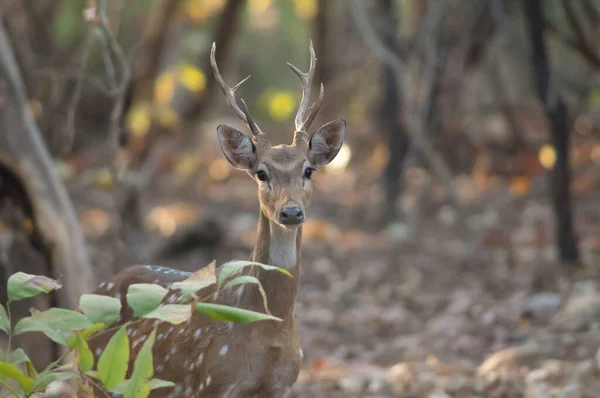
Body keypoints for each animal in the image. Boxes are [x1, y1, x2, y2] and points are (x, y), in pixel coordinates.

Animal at [84, 40, 346, 398]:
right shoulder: (211, 380)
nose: (291, 212)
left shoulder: (282, 383)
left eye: (308, 170)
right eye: (261, 173)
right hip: (98, 374)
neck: (270, 328)